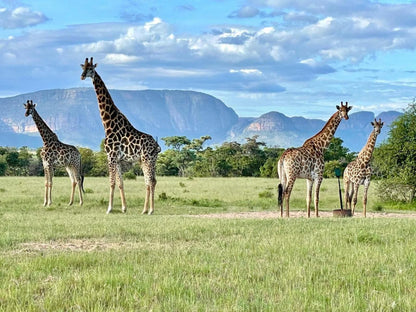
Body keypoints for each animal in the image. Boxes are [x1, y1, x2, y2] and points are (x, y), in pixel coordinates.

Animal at [80, 57, 161, 214]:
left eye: (91, 69)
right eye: (83, 68)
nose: (82, 76)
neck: (107, 123)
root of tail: (157, 145)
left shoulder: (110, 156)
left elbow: (111, 182)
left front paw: (109, 208)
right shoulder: (117, 159)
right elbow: (120, 183)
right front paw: (123, 208)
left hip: (147, 159)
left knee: (151, 181)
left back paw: (150, 210)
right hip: (146, 160)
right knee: (150, 181)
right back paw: (145, 210)